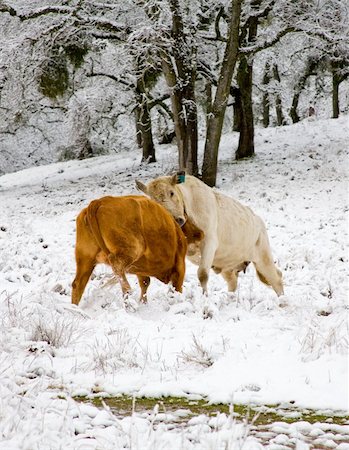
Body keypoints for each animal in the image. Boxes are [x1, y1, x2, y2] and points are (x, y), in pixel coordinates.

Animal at [71, 194, 201, 306]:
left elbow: (145, 282)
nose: (200, 234)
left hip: (85, 258)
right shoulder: (180, 266)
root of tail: (100, 201)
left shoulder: (141, 269)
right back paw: (128, 294)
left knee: (77, 284)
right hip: (133, 249)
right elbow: (176, 288)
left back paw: (75, 308)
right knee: (116, 263)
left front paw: (143, 302)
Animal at [136, 174, 282, 298]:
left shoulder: (209, 242)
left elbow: (202, 274)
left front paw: (205, 297)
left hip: (263, 257)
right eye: (152, 201)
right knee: (233, 282)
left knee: (276, 278)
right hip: (228, 265)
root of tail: (257, 219)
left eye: (171, 193)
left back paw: (282, 302)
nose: (175, 220)